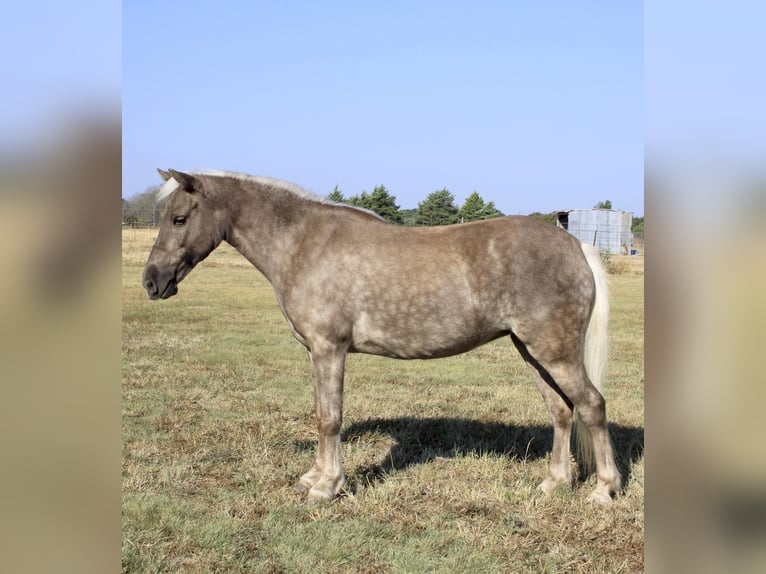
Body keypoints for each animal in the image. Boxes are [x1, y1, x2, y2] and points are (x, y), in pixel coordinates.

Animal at [142, 170, 624, 504]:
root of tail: (575, 246)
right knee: (561, 411)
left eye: (180, 218)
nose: (152, 282)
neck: (303, 243)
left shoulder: (329, 349)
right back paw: (553, 483)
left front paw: (326, 487)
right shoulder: (316, 353)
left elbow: (330, 418)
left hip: (555, 352)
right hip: (531, 350)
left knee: (592, 405)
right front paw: (313, 478)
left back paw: (603, 490)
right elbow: (321, 413)